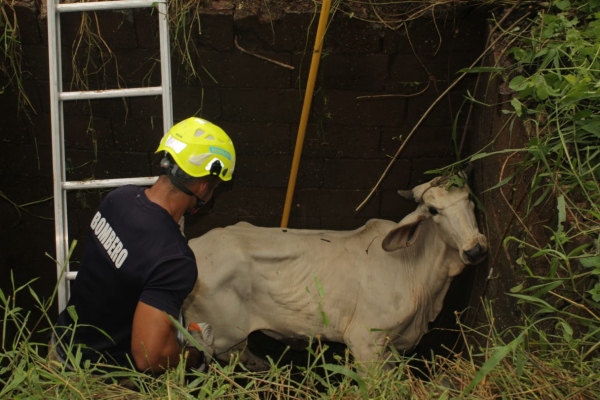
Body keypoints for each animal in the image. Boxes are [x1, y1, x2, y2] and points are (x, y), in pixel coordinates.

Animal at [183, 177, 488, 370]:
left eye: (470, 199)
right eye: (434, 210)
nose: (475, 249)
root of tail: (195, 245)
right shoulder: (365, 343)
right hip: (220, 332)